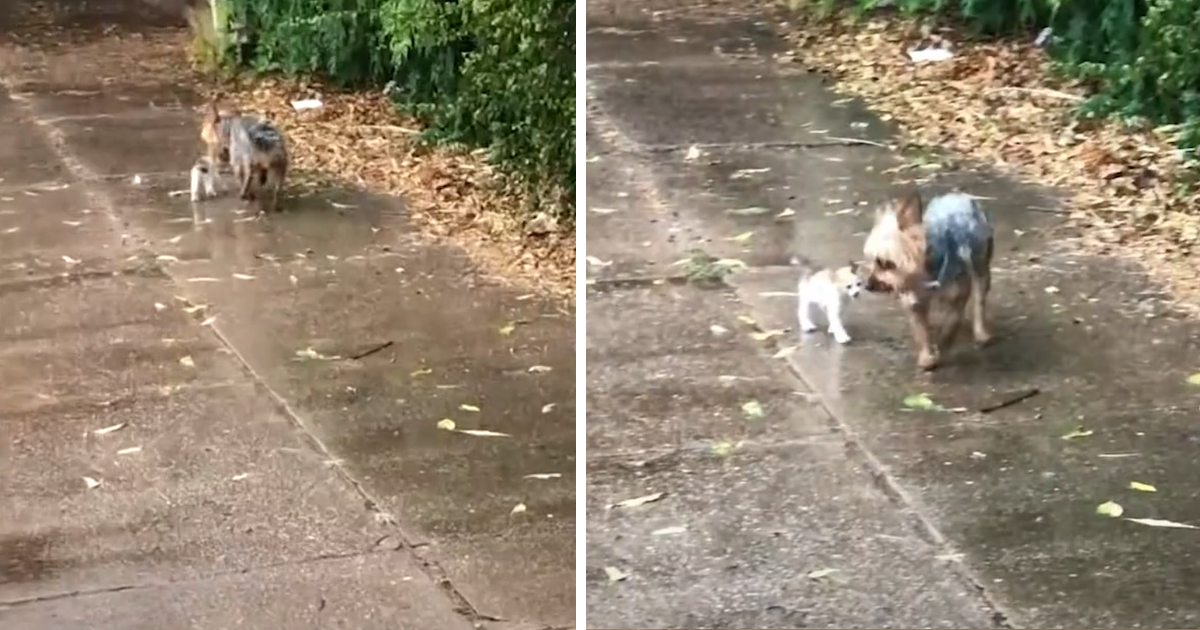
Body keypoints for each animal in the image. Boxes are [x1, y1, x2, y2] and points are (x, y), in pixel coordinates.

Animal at [864, 189, 993, 372]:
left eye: (886, 263)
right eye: (872, 261)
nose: (868, 285)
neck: (922, 275)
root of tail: (957, 195)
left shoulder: (957, 294)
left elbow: (951, 324)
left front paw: (941, 347)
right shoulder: (914, 302)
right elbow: (921, 331)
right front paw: (927, 357)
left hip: (980, 264)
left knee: (979, 299)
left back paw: (981, 333)